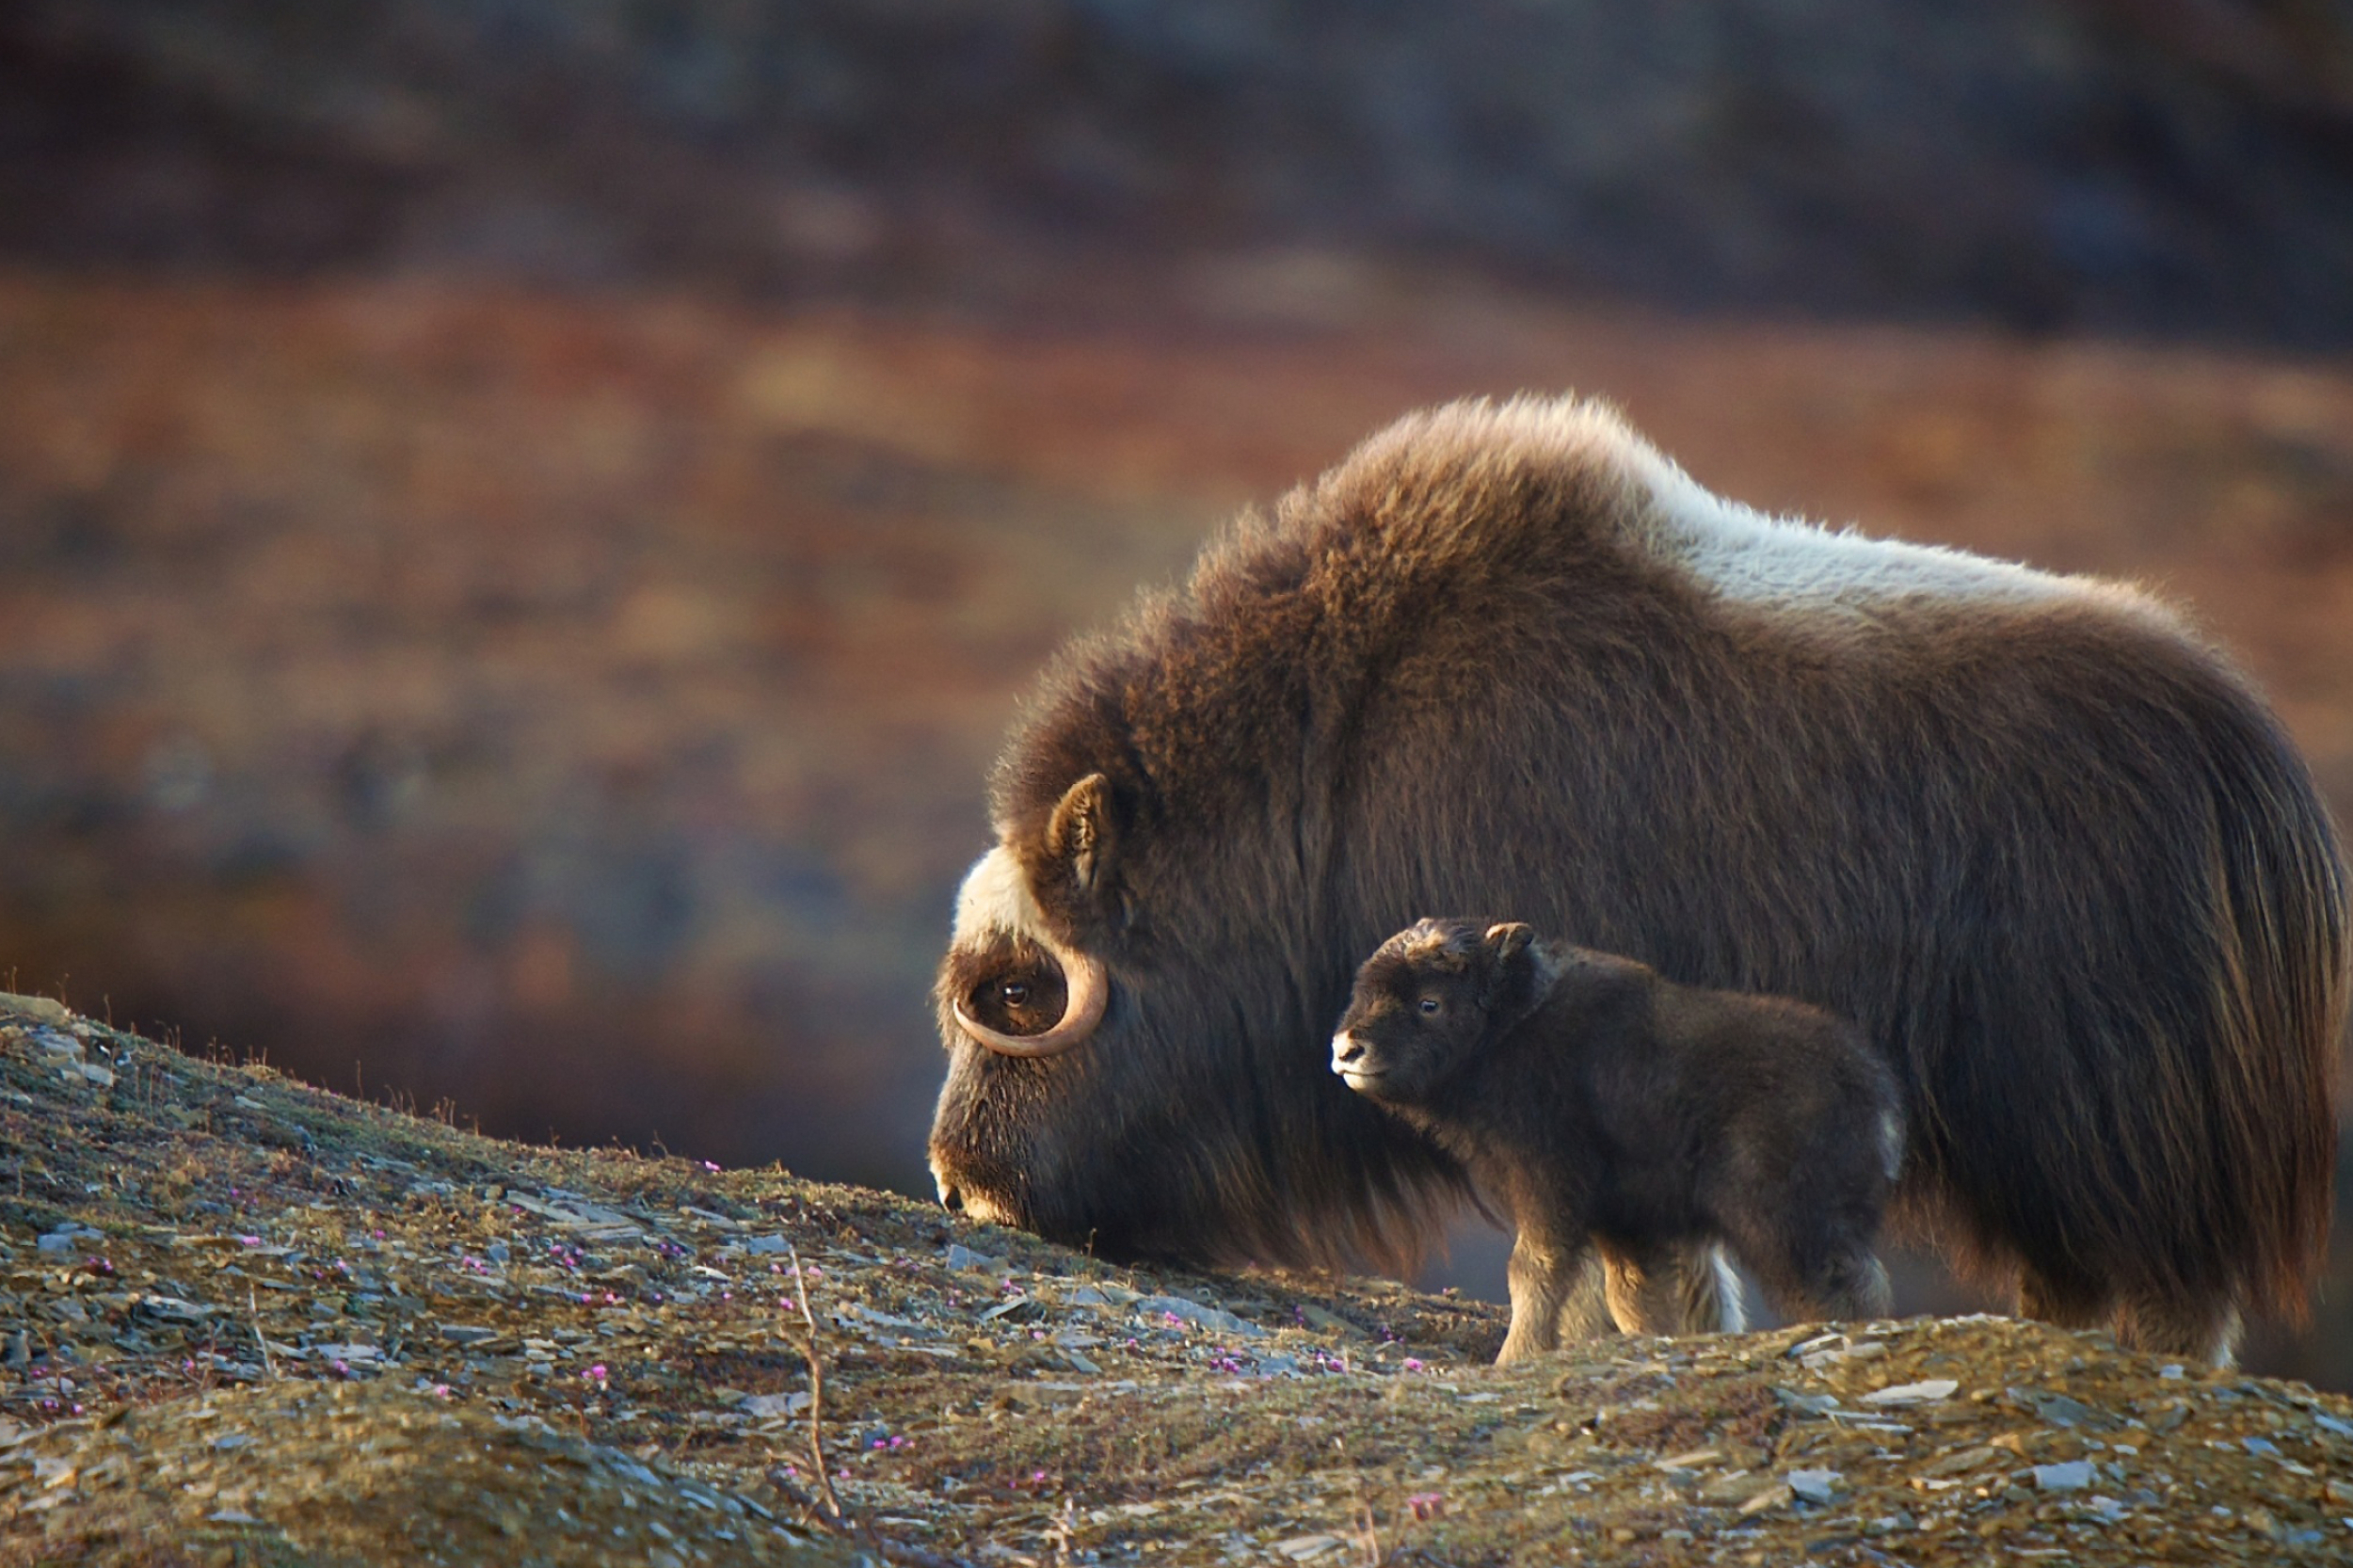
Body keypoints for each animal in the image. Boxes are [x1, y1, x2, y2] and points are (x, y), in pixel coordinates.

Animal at [1337, 918, 1901, 1355]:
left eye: (1429, 1003)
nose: (1346, 1050)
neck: (1511, 1027)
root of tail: (1875, 1092)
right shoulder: (1626, 1221)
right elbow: (1634, 1296)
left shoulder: (1550, 1186)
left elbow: (1533, 1271)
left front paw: (1515, 1357)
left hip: (1787, 1225)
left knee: (1837, 1287)